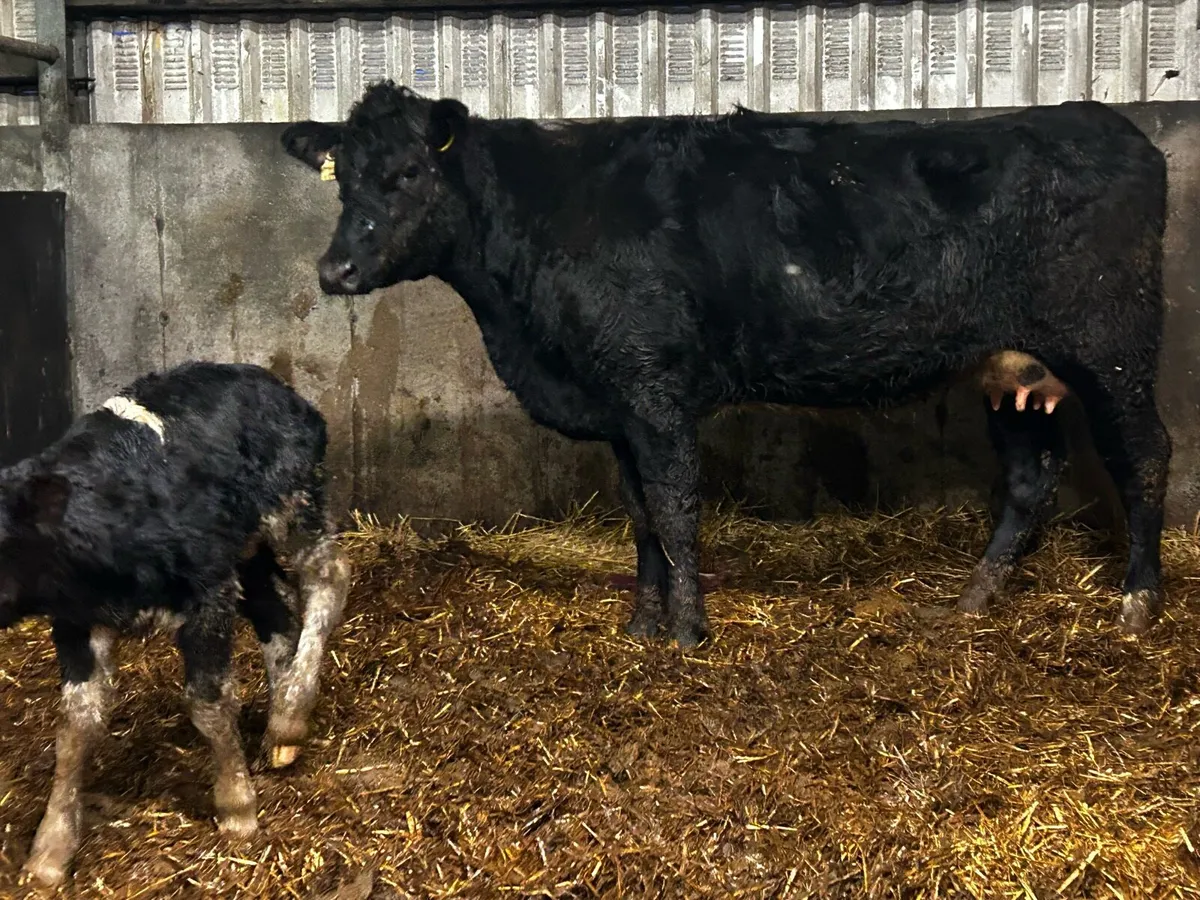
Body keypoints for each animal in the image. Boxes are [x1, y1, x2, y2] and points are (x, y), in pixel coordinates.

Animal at [1, 361, 351, 887]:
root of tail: (280, 389)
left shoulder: (208, 592)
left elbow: (208, 702)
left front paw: (236, 807)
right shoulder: (76, 622)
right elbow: (76, 724)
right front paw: (50, 848)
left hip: (293, 500)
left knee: (328, 576)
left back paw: (290, 716)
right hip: (245, 550)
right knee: (278, 611)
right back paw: (279, 715)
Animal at [281, 83, 1168, 650]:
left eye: (407, 172)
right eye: (343, 177)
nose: (336, 270)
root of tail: (1108, 125)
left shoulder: (654, 389)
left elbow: (676, 509)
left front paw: (687, 632)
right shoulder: (619, 406)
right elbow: (640, 514)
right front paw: (642, 625)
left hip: (1113, 347)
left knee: (1147, 455)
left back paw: (1137, 603)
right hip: (1010, 367)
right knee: (1031, 474)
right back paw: (972, 601)